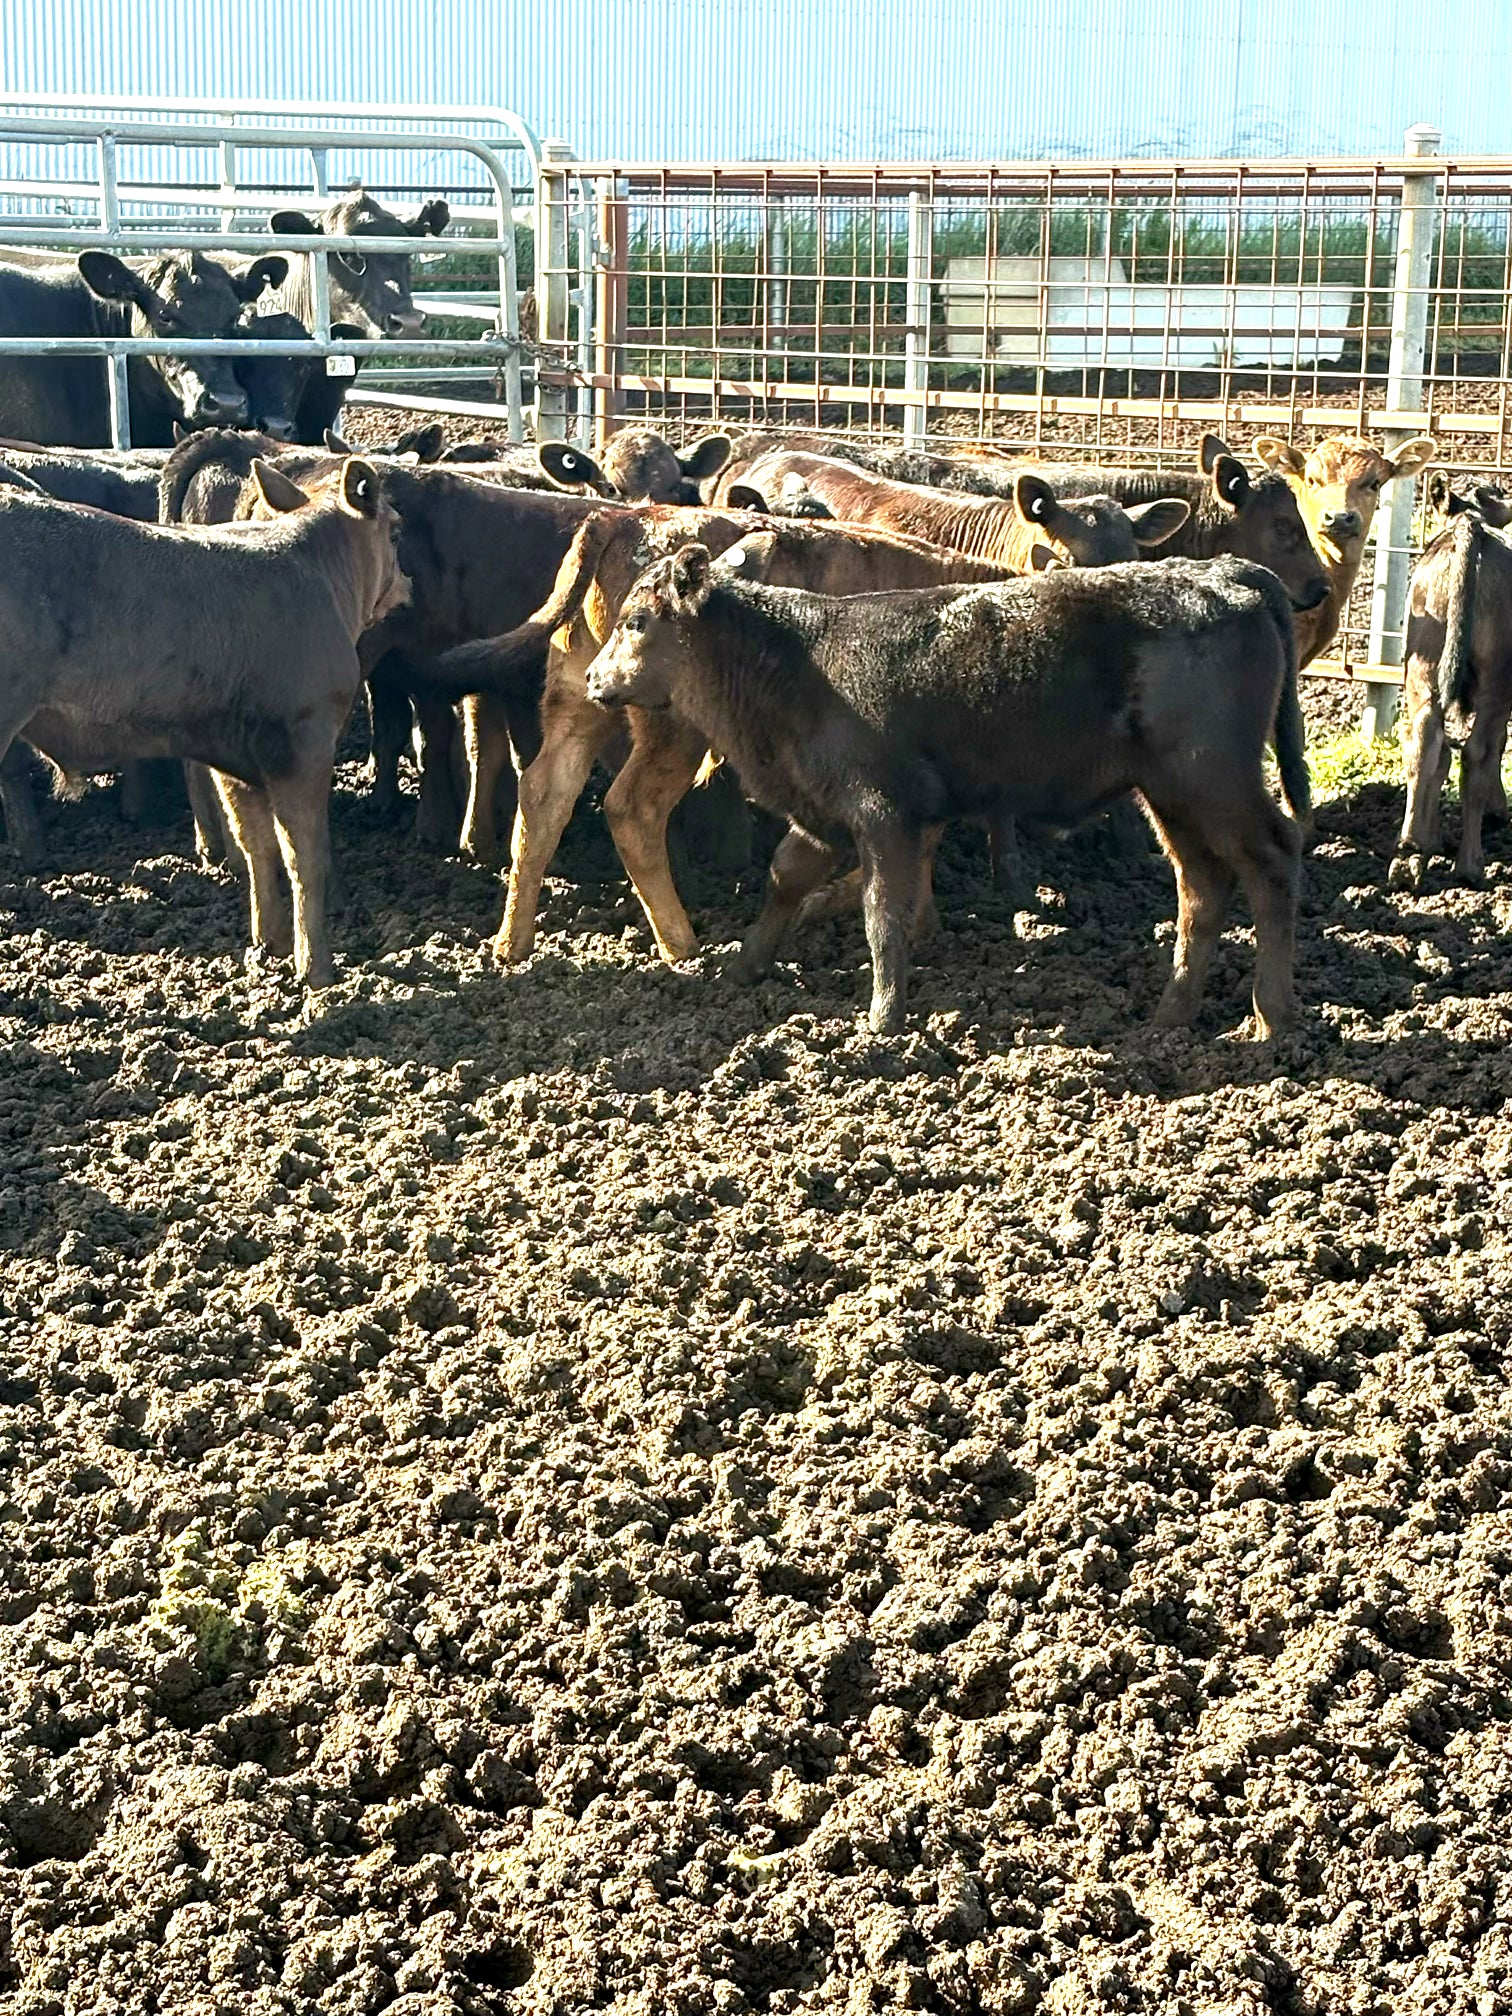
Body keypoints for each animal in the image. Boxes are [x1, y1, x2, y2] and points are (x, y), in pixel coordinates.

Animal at [0, 459, 407, 980]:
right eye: (396, 531)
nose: (407, 583)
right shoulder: (304, 739)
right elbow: (304, 854)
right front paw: (317, 970)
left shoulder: (235, 755)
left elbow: (257, 846)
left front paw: (267, 946)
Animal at [583, 549, 1306, 1039]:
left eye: (637, 620)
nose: (592, 679)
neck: (790, 663)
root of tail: (1226, 570)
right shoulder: (820, 811)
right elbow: (785, 878)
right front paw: (742, 967)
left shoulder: (883, 814)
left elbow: (882, 914)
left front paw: (882, 1018)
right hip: (1171, 794)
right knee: (1201, 886)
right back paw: (1171, 1014)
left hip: (1214, 778)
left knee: (1271, 862)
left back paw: (1268, 1019)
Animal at [1392, 506, 1512, 892]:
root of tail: (1468, 528)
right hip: (1495, 683)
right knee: (1477, 754)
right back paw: (1470, 865)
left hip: (1422, 668)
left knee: (1425, 744)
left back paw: (1410, 852)